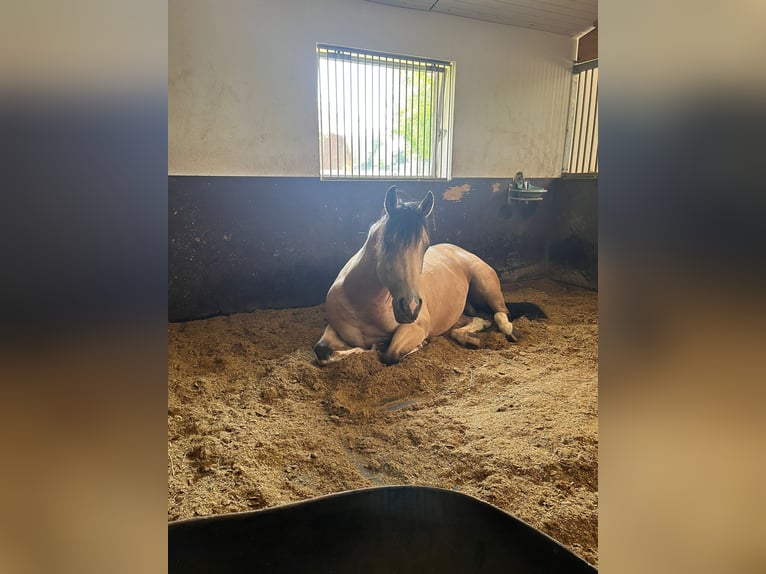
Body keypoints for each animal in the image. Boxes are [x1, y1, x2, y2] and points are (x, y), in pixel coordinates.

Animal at [313, 185, 546, 365]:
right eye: (387, 242)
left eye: (425, 246)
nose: (411, 307)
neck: (363, 303)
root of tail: (460, 251)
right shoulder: (333, 330)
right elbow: (322, 352)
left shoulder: (416, 327)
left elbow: (390, 354)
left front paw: (413, 345)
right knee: (474, 320)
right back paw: (471, 333)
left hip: (486, 285)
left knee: (501, 313)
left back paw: (509, 330)